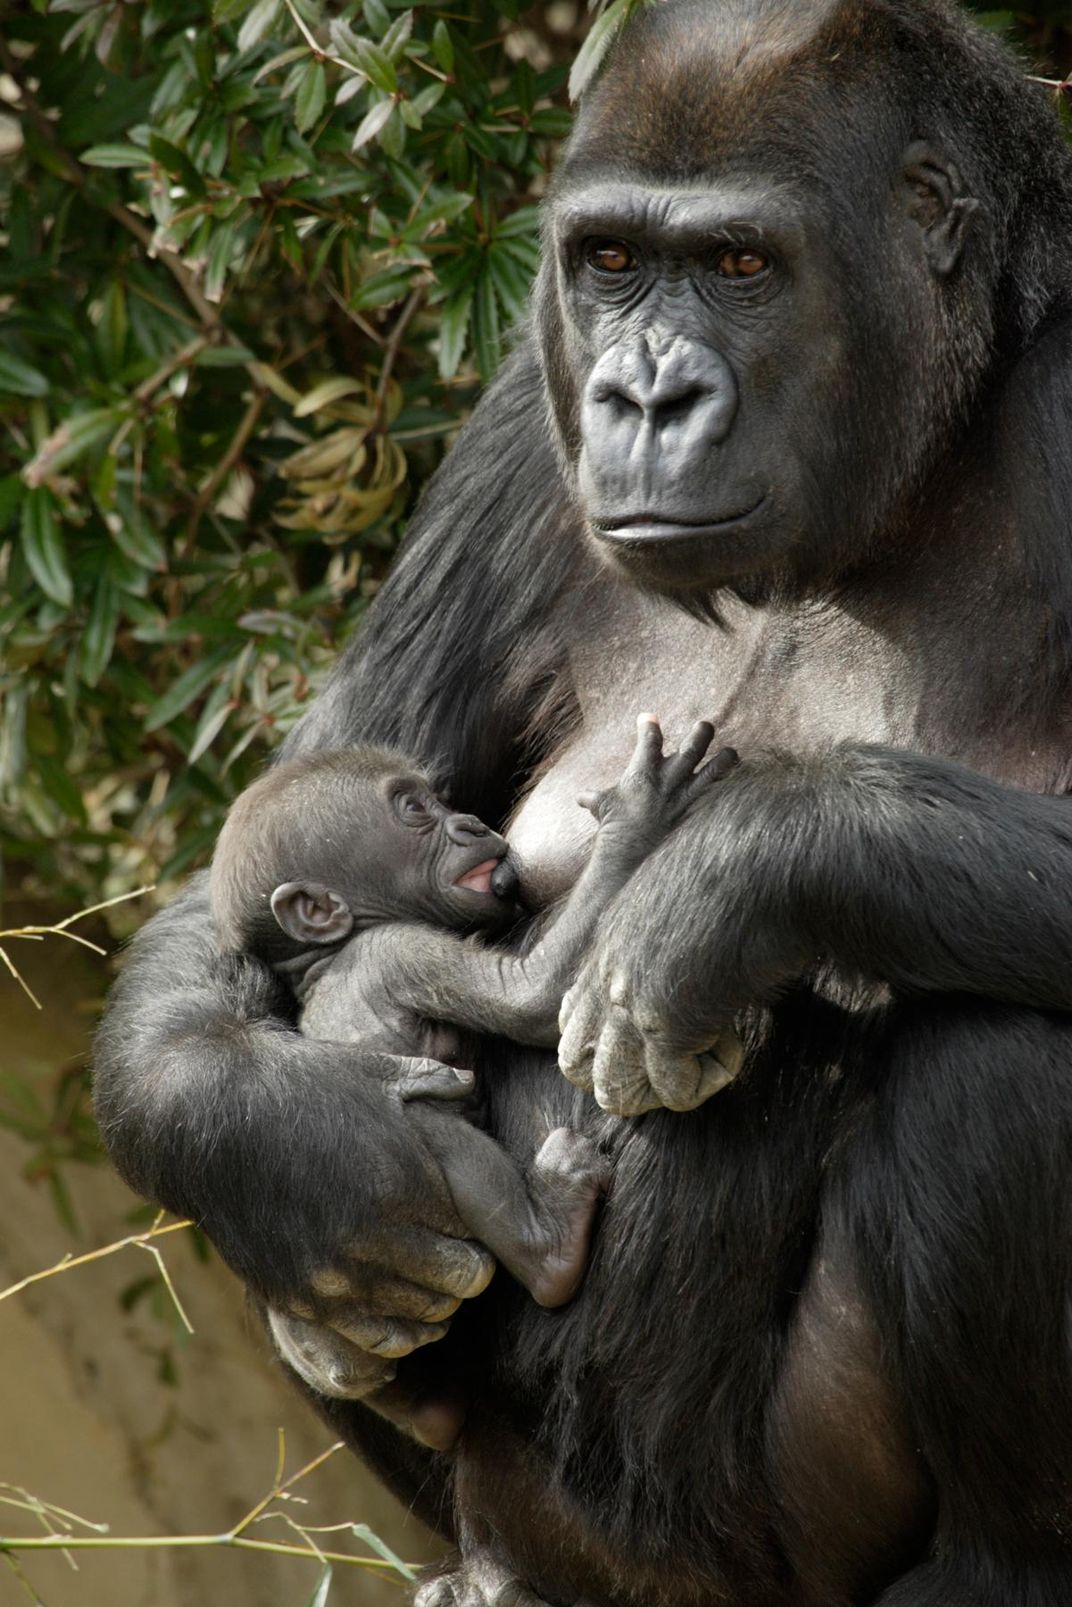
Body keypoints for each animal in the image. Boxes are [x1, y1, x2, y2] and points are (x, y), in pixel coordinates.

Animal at [213, 716, 742, 1446]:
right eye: (413, 811)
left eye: (438, 801)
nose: (467, 823)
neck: (328, 954)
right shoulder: (401, 951)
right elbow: (529, 997)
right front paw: (637, 815)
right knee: (432, 1129)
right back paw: (549, 1243)